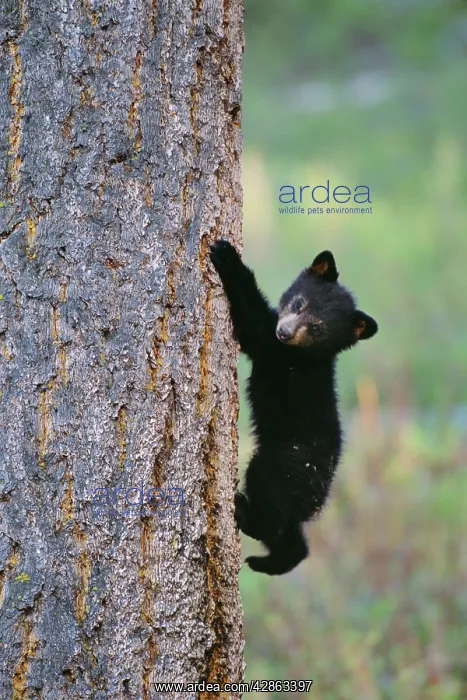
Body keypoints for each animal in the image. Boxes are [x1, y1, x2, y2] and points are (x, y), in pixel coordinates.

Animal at [209, 239, 378, 575]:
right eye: (299, 303)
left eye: (316, 328)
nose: (285, 332)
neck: (307, 355)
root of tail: (319, 495)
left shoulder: (276, 352)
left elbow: (253, 323)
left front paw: (227, 257)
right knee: (289, 534)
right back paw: (274, 560)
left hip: (283, 465)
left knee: (269, 510)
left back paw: (244, 512)